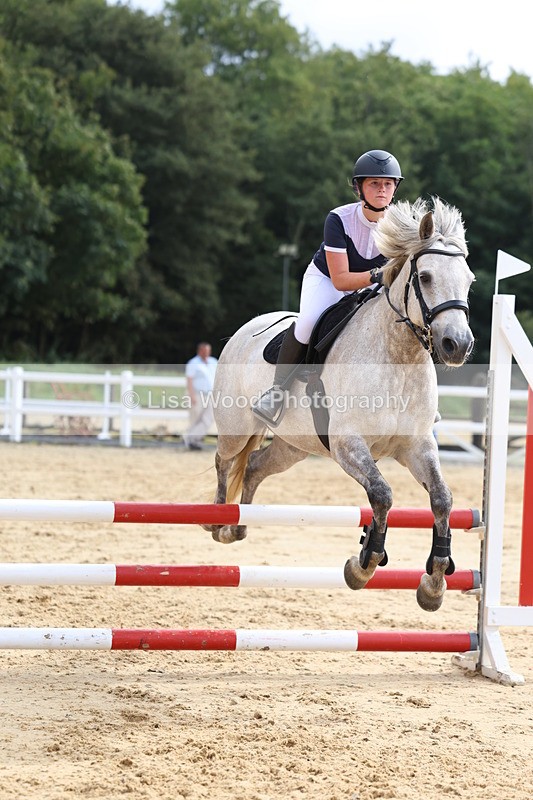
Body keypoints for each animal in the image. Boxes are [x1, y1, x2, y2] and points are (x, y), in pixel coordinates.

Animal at [204, 197, 475, 612]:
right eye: (426, 277)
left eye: (469, 280)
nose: (457, 345)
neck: (399, 356)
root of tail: (246, 329)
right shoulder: (348, 445)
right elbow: (382, 494)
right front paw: (364, 564)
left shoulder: (416, 445)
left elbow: (442, 500)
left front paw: (434, 582)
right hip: (236, 427)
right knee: (225, 460)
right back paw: (218, 520)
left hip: (295, 446)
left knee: (254, 467)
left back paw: (238, 525)